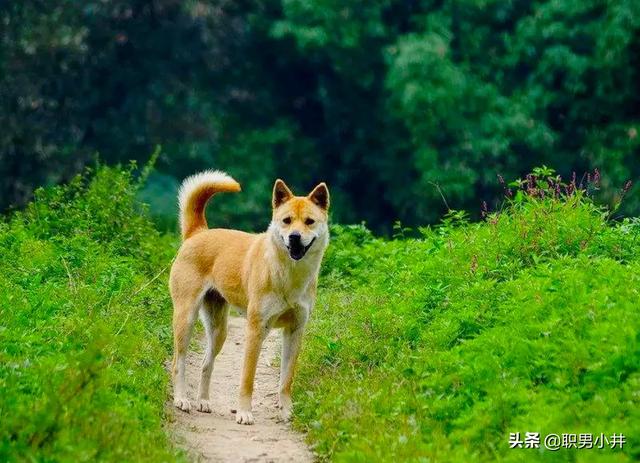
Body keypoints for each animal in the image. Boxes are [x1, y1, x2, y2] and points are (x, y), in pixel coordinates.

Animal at [169, 170, 330, 424]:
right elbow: (247, 379)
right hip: (186, 318)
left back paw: (203, 401)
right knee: (178, 362)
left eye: (309, 221)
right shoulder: (255, 329)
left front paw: (287, 411)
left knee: (206, 364)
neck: (288, 275)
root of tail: (198, 232)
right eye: (286, 221)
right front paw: (244, 412)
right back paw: (181, 399)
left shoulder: (295, 331)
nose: (294, 237)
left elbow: (286, 380)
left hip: (219, 330)